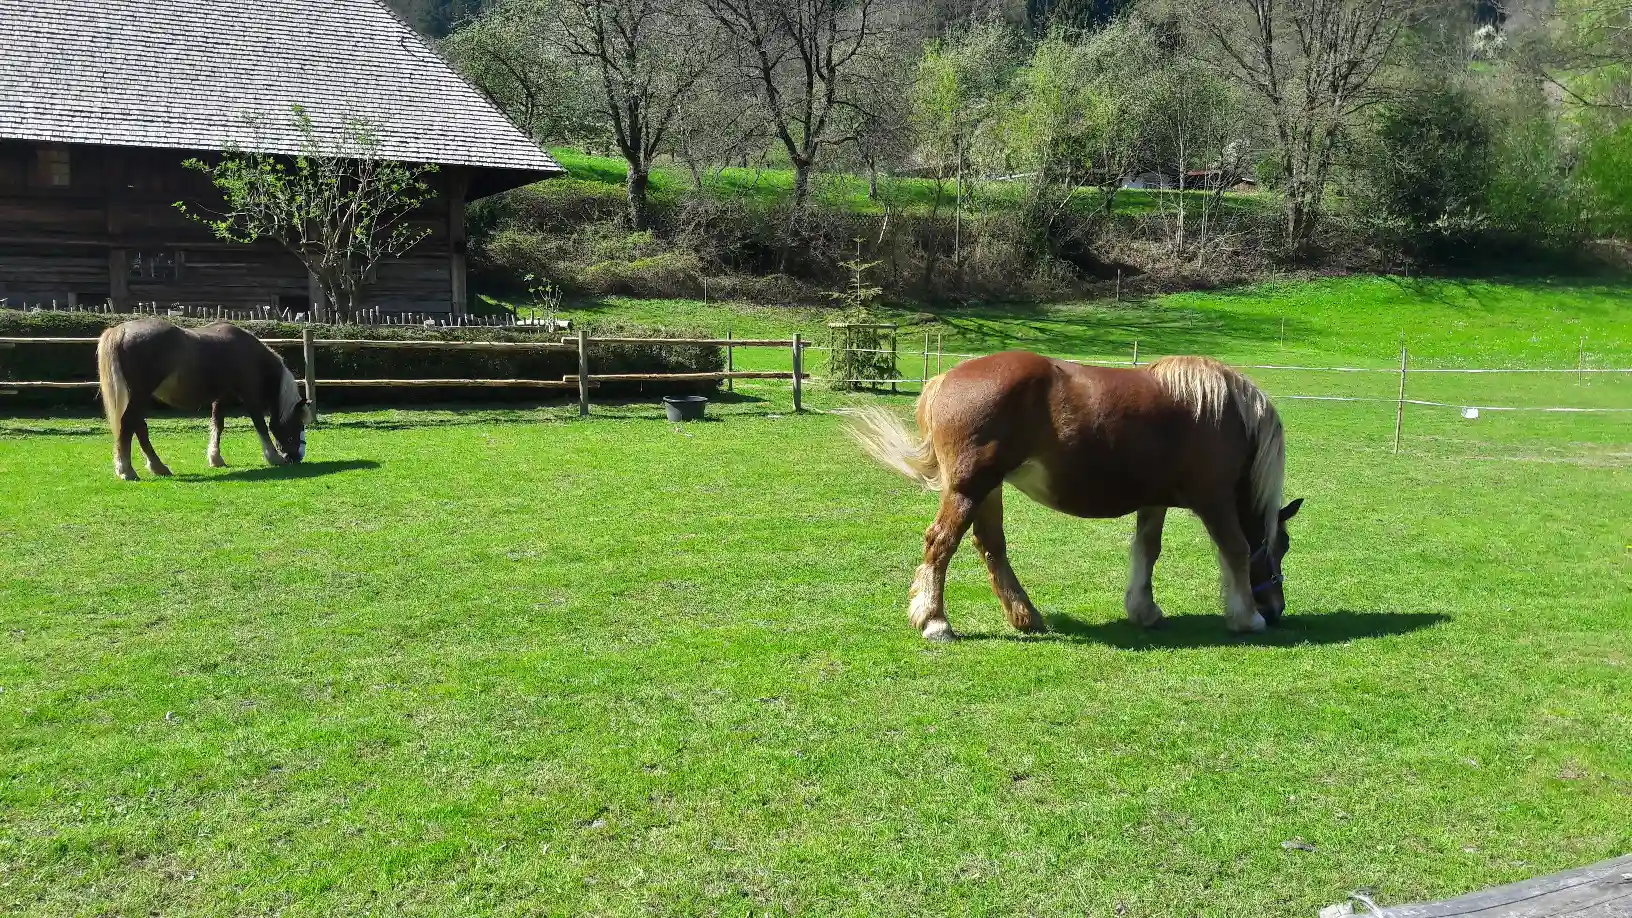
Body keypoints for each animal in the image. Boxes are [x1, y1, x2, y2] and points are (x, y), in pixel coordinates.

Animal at [96, 318, 310, 481]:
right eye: (297, 424)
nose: (297, 456)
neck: (249, 352)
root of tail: (121, 330)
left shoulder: (222, 397)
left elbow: (218, 424)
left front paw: (215, 458)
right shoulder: (249, 394)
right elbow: (260, 424)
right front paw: (273, 457)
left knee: (139, 427)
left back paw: (158, 467)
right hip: (140, 395)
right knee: (128, 424)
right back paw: (127, 470)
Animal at [849, 351, 1302, 641]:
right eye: (1283, 545)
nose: (1275, 610)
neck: (1222, 415)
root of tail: (946, 379)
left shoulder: (1153, 502)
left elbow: (1147, 550)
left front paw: (1145, 610)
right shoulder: (1216, 499)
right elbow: (1236, 549)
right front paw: (1246, 618)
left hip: (988, 488)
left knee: (990, 545)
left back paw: (1026, 616)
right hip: (969, 488)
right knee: (941, 542)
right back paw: (935, 621)